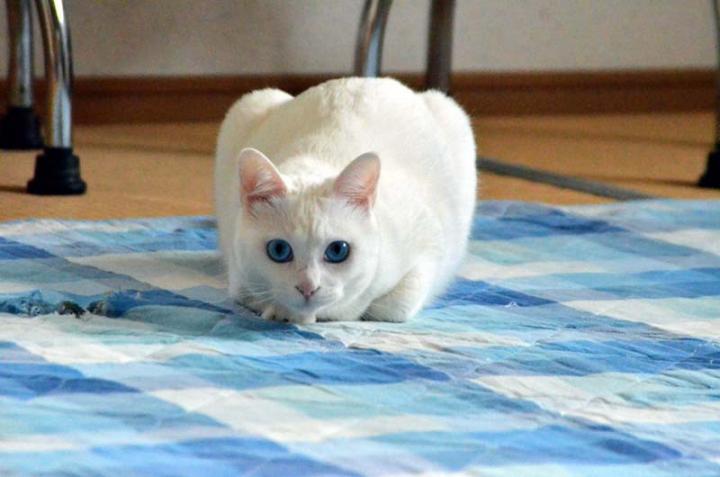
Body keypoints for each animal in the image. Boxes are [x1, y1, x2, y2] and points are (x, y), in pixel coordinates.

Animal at [215, 77, 476, 324]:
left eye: (338, 250)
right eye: (279, 250)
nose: (308, 287)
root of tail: (367, 78)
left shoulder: (430, 246)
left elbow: (392, 307)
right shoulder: (238, 276)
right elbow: (254, 296)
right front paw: (283, 312)